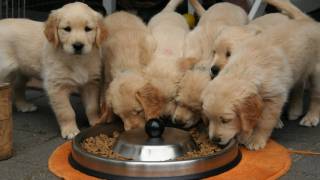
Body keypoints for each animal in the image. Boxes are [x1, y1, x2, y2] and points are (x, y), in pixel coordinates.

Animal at [42, 2, 108, 139]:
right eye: (67, 29)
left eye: (88, 29)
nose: (78, 45)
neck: (77, 60)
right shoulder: (57, 87)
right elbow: (66, 111)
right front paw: (70, 130)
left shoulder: (91, 84)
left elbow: (92, 106)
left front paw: (95, 122)